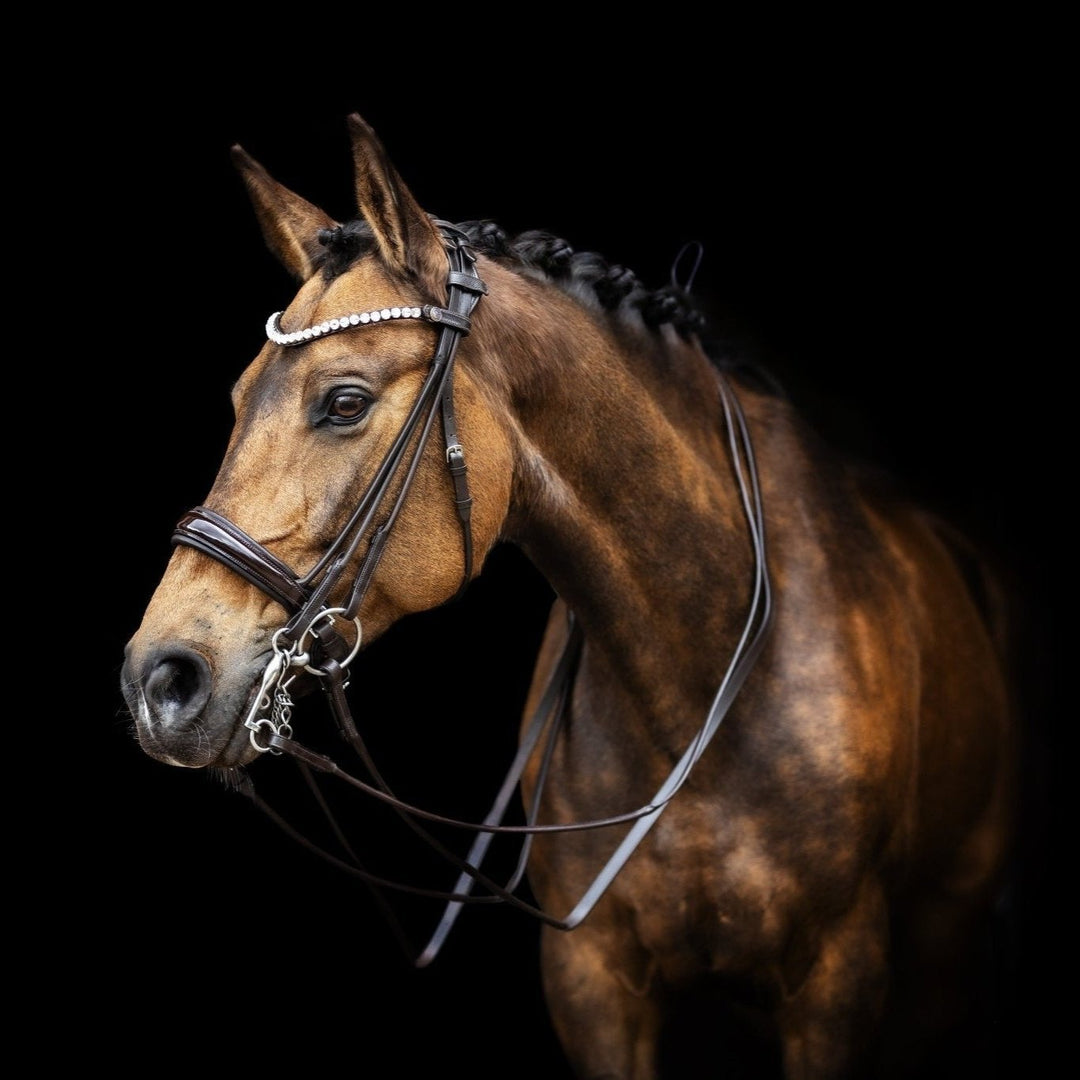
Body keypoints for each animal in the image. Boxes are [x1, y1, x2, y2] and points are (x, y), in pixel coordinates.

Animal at [120, 113, 1016, 1079]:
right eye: (239, 397)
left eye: (345, 401)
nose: (159, 680)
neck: (703, 680)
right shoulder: (594, 986)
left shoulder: (837, 981)